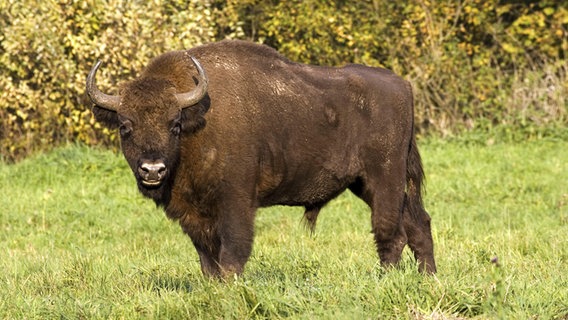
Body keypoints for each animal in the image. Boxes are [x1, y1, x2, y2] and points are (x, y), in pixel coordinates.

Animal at [86, 38, 438, 276]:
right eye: (125, 126)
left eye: (174, 124)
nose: (152, 169)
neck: (197, 122)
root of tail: (404, 86)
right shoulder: (192, 213)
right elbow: (207, 260)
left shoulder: (236, 201)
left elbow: (233, 253)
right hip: (367, 184)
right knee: (418, 223)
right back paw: (428, 278)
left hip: (385, 177)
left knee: (390, 231)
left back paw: (387, 279)